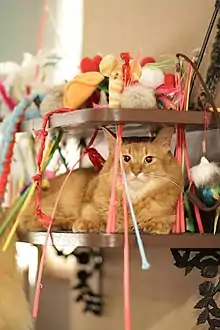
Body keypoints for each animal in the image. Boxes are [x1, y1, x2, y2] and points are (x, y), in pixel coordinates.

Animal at [0, 125, 182, 330]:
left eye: (148, 159)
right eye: (126, 158)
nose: (136, 172)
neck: (133, 202)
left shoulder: (172, 211)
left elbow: (164, 218)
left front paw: (155, 224)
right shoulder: (90, 204)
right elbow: (92, 216)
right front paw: (86, 224)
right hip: (49, 205)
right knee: (33, 219)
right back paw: (67, 222)